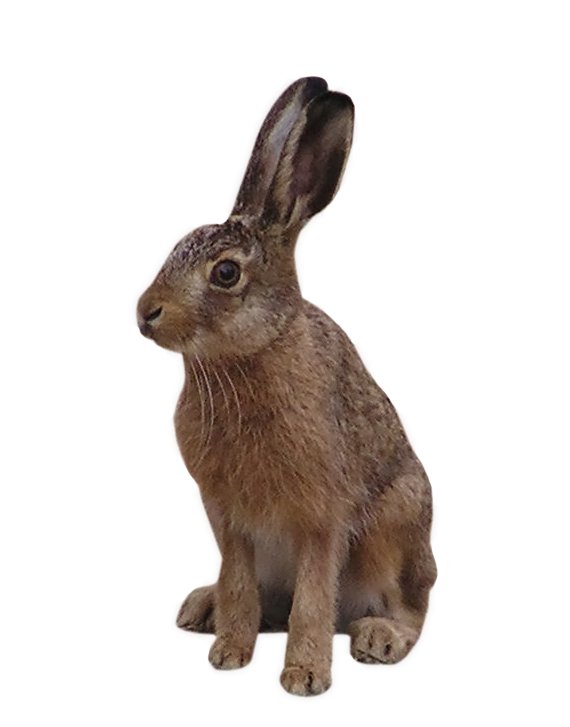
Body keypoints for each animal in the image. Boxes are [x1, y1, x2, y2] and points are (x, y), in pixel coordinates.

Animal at [136, 77, 434, 696]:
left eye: (226, 273)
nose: (144, 313)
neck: (249, 354)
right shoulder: (226, 516)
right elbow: (238, 583)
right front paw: (229, 652)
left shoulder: (320, 517)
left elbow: (314, 601)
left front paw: (304, 676)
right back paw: (202, 608)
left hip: (398, 524)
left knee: (411, 610)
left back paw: (380, 637)